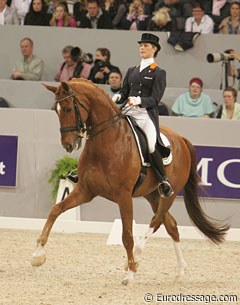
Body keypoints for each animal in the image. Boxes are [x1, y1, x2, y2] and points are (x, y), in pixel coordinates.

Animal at [31, 78, 229, 282]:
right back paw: (180, 271)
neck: (108, 142)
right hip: (152, 195)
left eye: (69, 108)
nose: (68, 145)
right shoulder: (85, 191)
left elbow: (127, 235)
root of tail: (181, 139)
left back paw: (136, 259)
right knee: (171, 225)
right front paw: (38, 255)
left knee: (157, 221)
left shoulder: (123, 196)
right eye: (56, 110)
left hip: (169, 194)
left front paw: (131, 274)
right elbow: (55, 210)